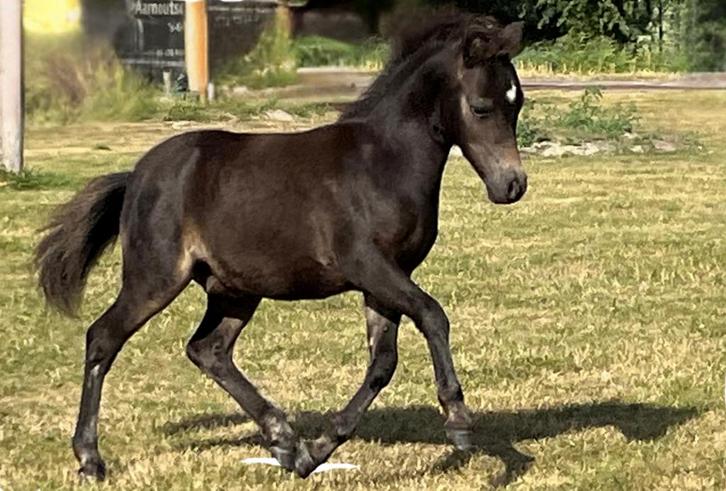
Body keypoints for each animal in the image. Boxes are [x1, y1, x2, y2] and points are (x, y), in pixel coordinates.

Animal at [35, 11, 527, 480]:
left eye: (517, 103)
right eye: (481, 107)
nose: (512, 185)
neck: (382, 163)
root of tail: (135, 177)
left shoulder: (386, 281)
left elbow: (382, 363)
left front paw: (317, 450)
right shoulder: (369, 265)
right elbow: (433, 314)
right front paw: (458, 419)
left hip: (234, 291)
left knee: (208, 350)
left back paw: (284, 439)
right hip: (155, 277)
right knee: (104, 337)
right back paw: (90, 458)